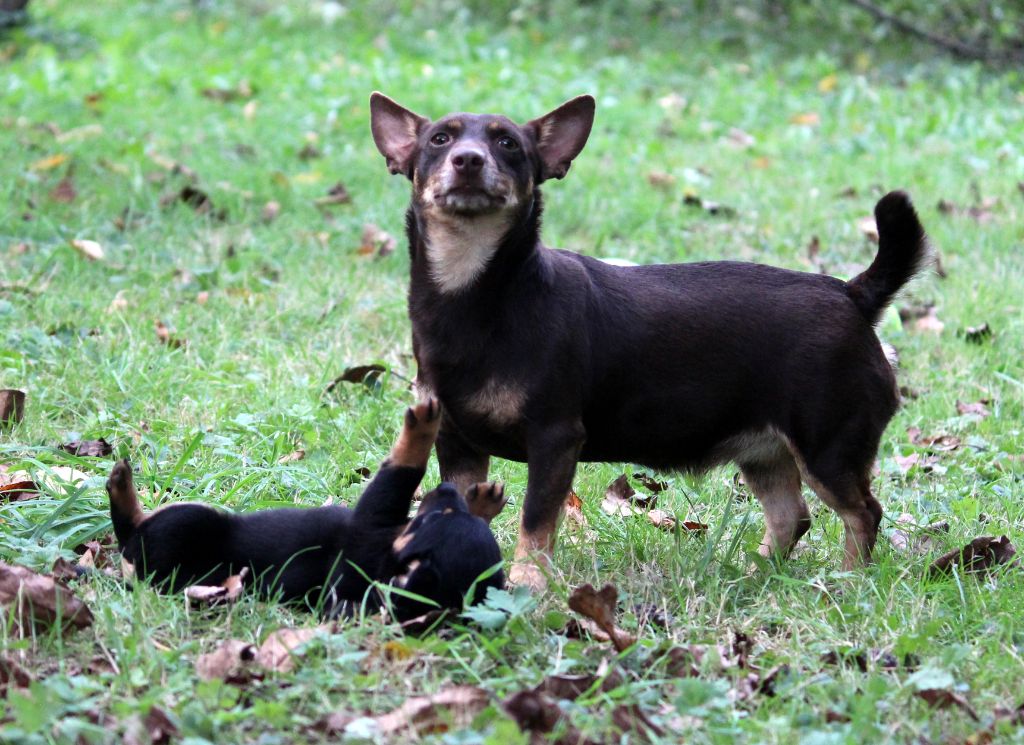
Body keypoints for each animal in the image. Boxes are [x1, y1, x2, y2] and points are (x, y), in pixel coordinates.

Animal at [105, 401, 505, 622]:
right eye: (448, 509)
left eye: (433, 519)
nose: (448, 488)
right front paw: (483, 501)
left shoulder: (368, 530)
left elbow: (400, 474)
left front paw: (422, 426)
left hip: (187, 529)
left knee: (133, 529)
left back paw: (121, 485)